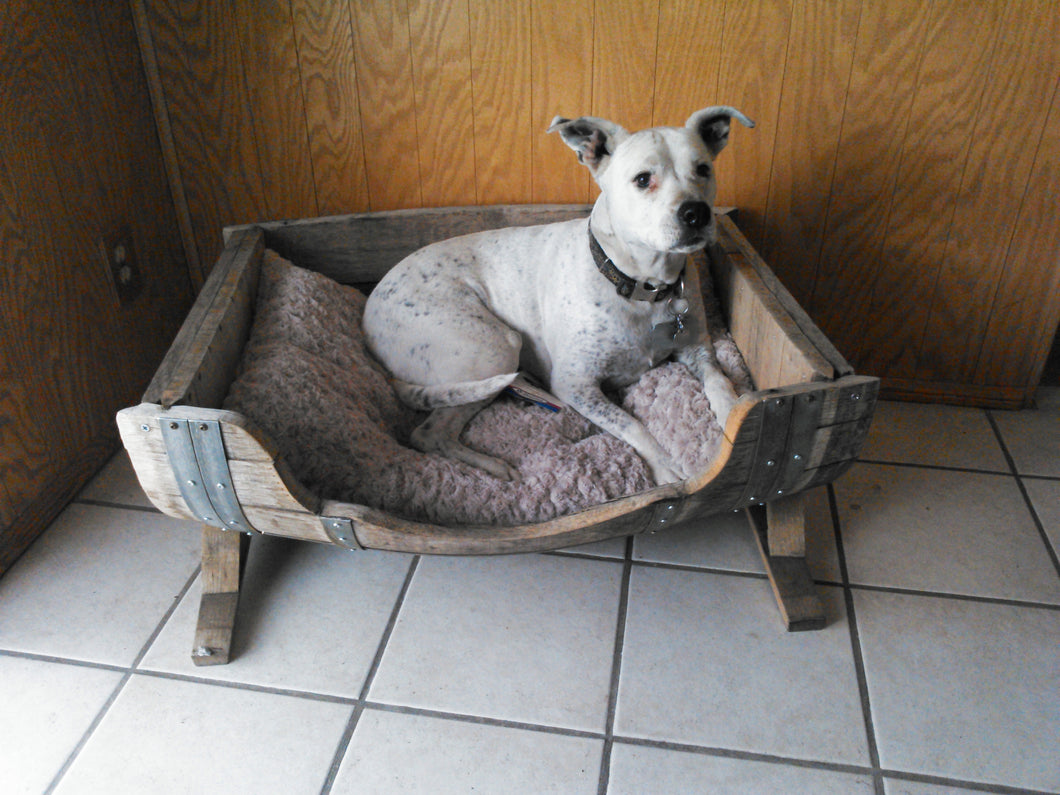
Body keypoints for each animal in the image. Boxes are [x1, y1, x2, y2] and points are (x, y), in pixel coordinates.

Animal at [364, 108, 754, 483]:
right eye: (643, 179)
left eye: (703, 169)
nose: (696, 212)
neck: (642, 286)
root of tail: (369, 309)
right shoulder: (576, 386)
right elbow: (632, 425)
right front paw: (664, 465)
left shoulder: (698, 350)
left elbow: (721, 383)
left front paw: (735, 419)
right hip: (496, 350)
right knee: (428, 433)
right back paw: (493, 469)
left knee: (437, 431)